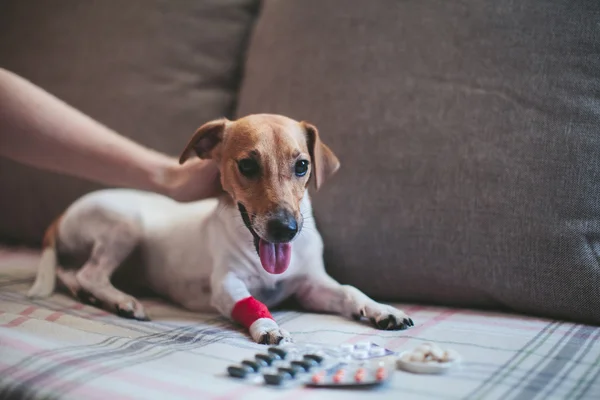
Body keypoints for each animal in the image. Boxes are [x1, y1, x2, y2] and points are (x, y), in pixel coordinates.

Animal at [28, 113, 412, 344]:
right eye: (247, 165)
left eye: (303, 165)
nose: (285, 229)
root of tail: (64, 215)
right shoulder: (226, 284)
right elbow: (251, 302)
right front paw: (268, 326)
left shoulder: (311, 286)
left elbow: (349, 291)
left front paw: (383, 310)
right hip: (123, 226)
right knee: (89, 273)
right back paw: (122, 300)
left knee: (72, 274)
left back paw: (94, 297)